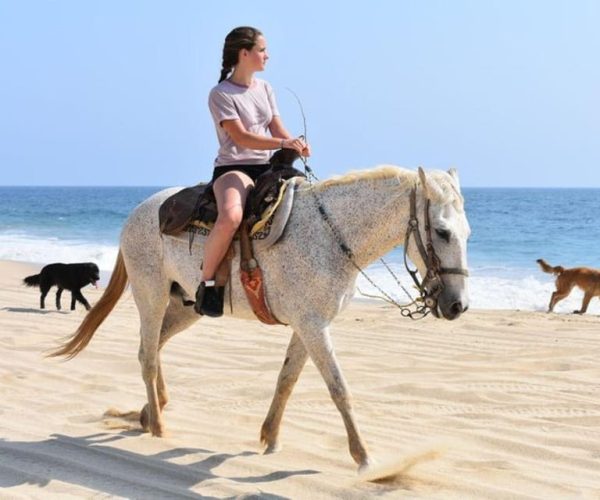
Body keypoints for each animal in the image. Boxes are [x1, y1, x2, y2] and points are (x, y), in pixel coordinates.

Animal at [51, 166, 472, 470]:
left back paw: (149, 411)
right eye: (441, 231)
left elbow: (286, 381)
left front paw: (270, 439)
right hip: (150, 295)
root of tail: (138, 211)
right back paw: (157, 426)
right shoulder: (314, 326)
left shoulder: (308, 325)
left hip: (185, 305)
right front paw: (365, 458)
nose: (458, 305)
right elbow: (339, 389)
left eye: (467, 233)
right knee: (148, 357)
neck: (330, 235)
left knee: (152, 347)